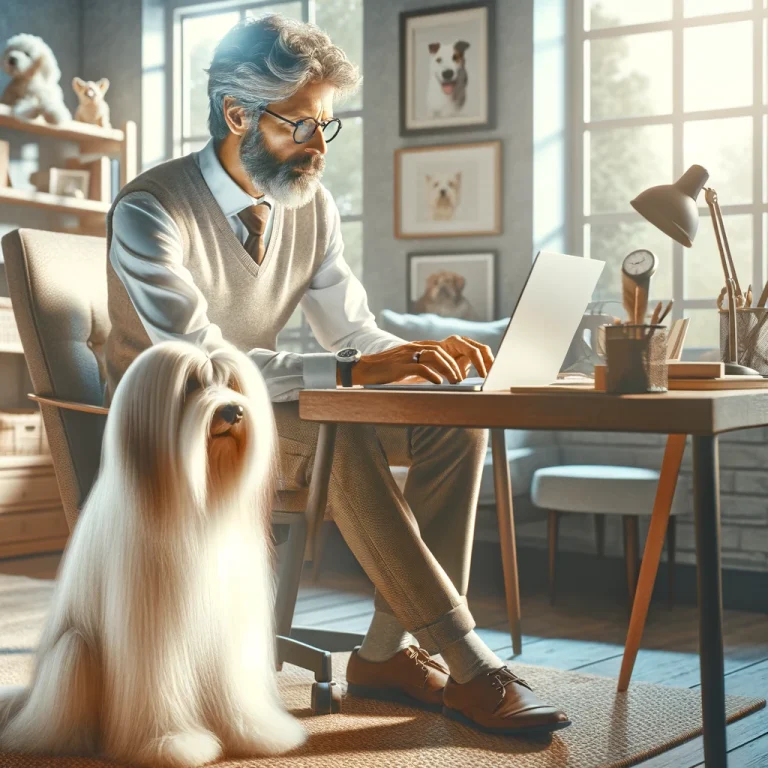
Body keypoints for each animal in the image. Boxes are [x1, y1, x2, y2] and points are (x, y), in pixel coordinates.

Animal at [0, 344, 306, 768]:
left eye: (231, 383)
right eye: (191, 384)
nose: (233, 410)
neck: (197, 501)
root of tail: (27, 702)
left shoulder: (230, 626)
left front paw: (255, 733)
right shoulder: (152, 628)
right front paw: (172, 744)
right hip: (75, 652)